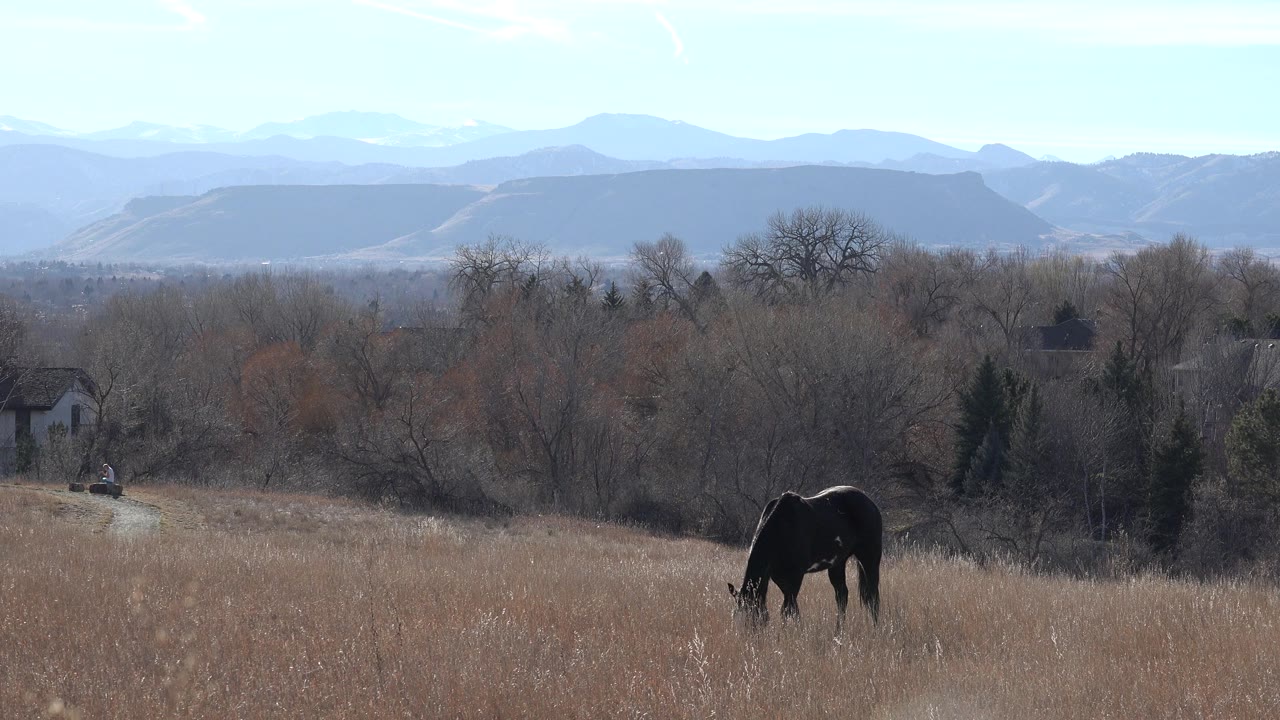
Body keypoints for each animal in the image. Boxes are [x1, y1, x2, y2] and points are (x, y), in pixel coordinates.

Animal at [728, 486, 882, 632]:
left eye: (753, 617)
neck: (781, 528)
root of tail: (870, 503)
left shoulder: (796, 576)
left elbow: (788, 610)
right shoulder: (779, 578)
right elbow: (793, 609)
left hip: (870, 559)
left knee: (873, 597)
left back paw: (875, 629)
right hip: (838, 563)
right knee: (842, 596)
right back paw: (839, 632)